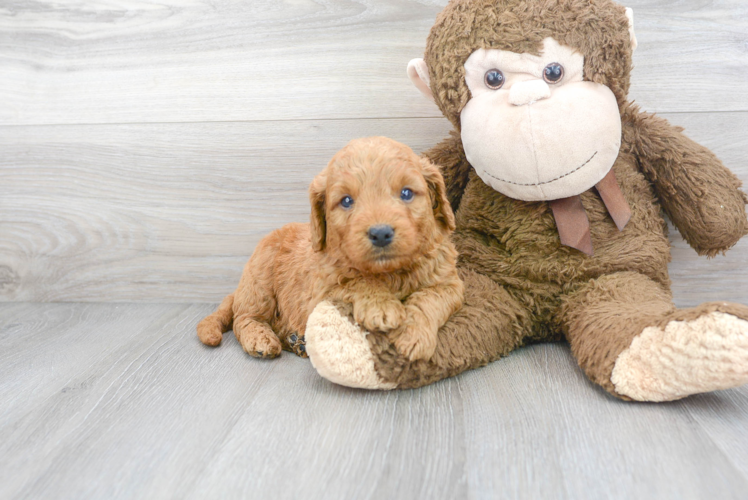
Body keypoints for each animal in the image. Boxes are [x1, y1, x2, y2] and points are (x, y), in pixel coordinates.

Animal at [196, 137, 464, 362]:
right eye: (346, 201)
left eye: (406, 193)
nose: (380, 233)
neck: (388, 272)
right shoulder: (320, 290)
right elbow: (356, 282)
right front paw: (382, 306)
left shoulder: (450, 284)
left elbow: (428, 299)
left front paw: (413, 335)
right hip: (259, 283)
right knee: (244, 318)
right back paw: (261, 340)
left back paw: (297, 342)